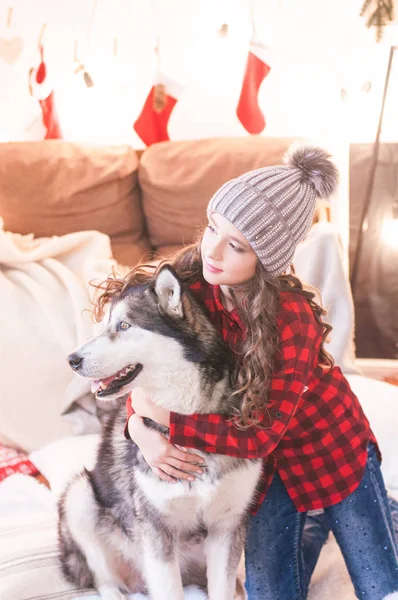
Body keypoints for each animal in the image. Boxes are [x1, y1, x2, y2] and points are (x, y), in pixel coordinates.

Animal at [58, 266, 262, 600]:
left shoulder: (227, 525)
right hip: (80, 497)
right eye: (107, 326)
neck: (188, 421)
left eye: (123, 325)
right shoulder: (156, 530)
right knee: (104, 580)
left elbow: (222, 586)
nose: (72, 360)